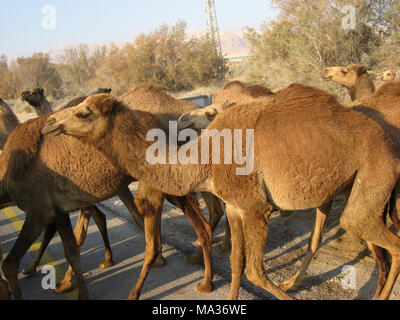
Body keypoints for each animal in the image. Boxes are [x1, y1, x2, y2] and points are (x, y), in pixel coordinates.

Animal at [0, 84, 216, 300]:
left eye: (83, 114)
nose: (50, 122)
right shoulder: (65, 206)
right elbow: (74, 244)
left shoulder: (42, 210)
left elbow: (12, 262)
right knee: (201, 223)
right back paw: (204, 276)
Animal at [41, 85, 400, 300]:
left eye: (83, 112)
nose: (48, 124)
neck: (205, 158)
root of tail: (388, 140)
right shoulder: (236, 208)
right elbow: (237, 263)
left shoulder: (255, 207)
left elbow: (255, 271)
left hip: (374, 176)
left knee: (374, 234)